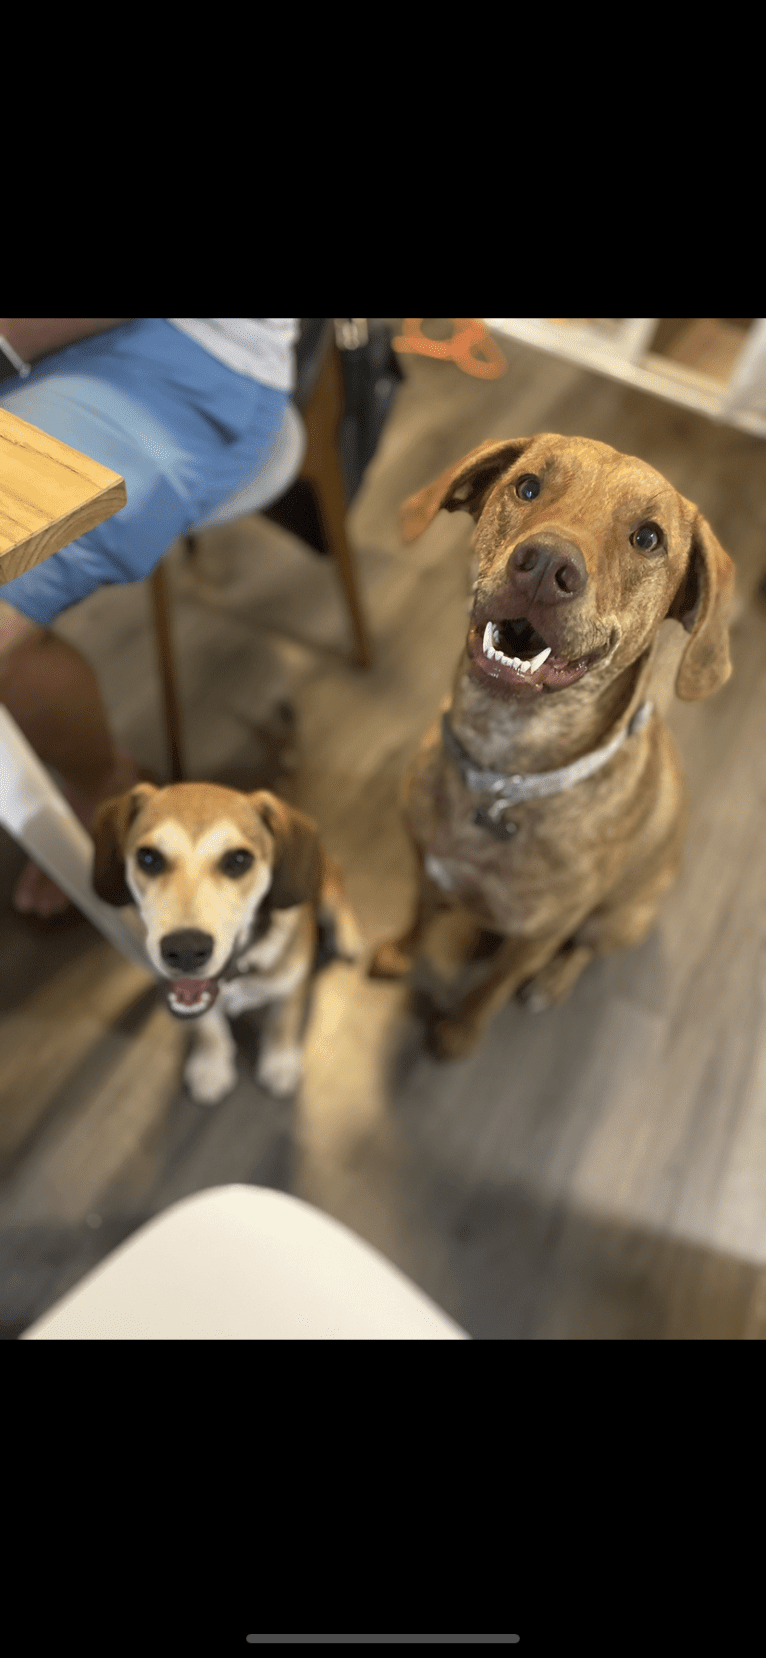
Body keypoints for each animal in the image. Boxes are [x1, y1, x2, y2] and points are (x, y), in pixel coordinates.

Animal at [92, 785, 361, 1100]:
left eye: (238, 860)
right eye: (148, 858)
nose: (185, 951)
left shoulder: (290, 987)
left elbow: (281, 1025)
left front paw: (280, 1064)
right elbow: (208, 1029)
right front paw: (211, 1066)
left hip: (326, 890)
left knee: (341, 902)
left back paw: (349, 938)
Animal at [371, 434, 736, 1061]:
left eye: (648, 538)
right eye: (527, 486)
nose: (545, 566)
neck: (503, 769)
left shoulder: (540, 934)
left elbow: (492, 986)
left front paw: (458, 1033)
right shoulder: (427, 862)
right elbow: (420, 915)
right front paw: (400, 952)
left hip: (620, 918)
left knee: (583, 949)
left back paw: (552, 982)